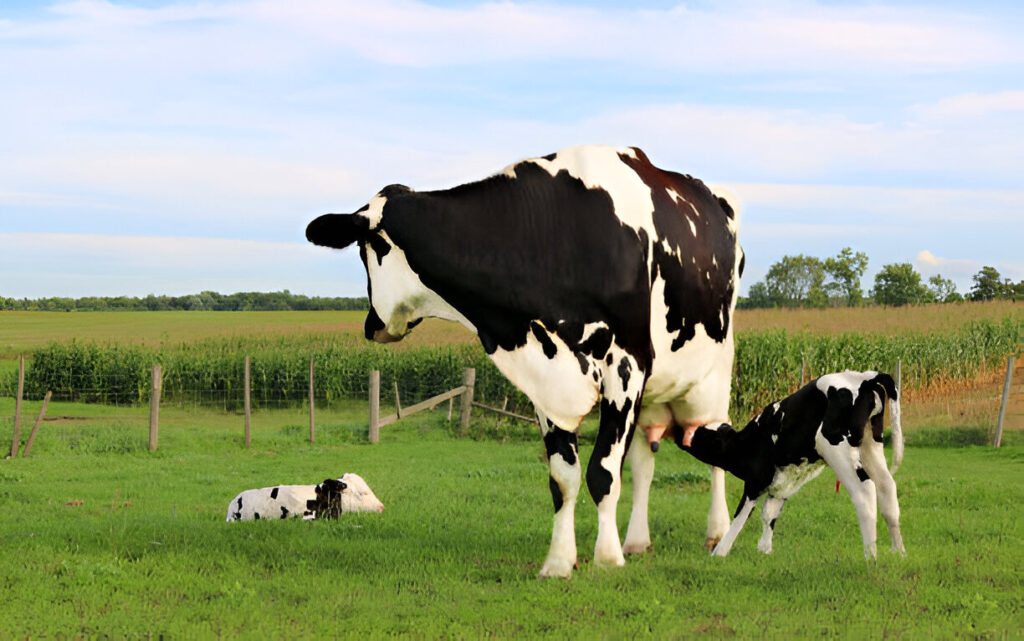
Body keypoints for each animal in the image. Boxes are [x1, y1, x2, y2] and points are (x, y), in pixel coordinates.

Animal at [303, 146, 745, 577]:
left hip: (713, 375)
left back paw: (716, 534)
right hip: (654, 393)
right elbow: (563, 478)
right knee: (643, 462)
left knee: (715, 447)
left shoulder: (626, 368)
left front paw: (606, 558)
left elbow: (602, 472)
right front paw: (559, 562)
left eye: (365, 251)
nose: (372, 325)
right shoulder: (546, 383)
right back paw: (636, 541)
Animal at [679, 372, 905, 557]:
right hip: (871, 444)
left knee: (864, 492)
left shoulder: (756, 479)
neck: (747, 442)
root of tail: (865, 377)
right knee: (887, 486)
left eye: (703, 434)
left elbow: (742, 514)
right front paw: (764, 550)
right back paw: (898, 552)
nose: (682, 433)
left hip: (838, 450)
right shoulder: (783, 482)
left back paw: (870, 556)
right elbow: (769, 513)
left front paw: (720, 551)